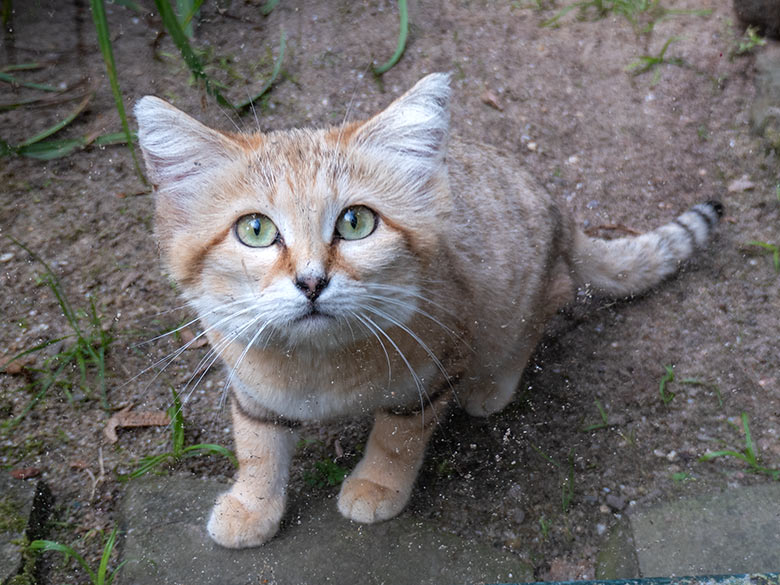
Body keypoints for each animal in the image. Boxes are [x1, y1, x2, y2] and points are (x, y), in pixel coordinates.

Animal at [136, 73, 724, 548]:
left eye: (355, 222)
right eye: (255, 229)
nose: (311, 281)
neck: (318, 364)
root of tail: (560, 210)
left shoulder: (435, 369)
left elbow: (396, 440)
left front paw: (377, 485)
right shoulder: (248, 380)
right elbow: (257, 443)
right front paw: (253, 505)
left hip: (519, 293)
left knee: (549, 301)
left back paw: (493, 385)